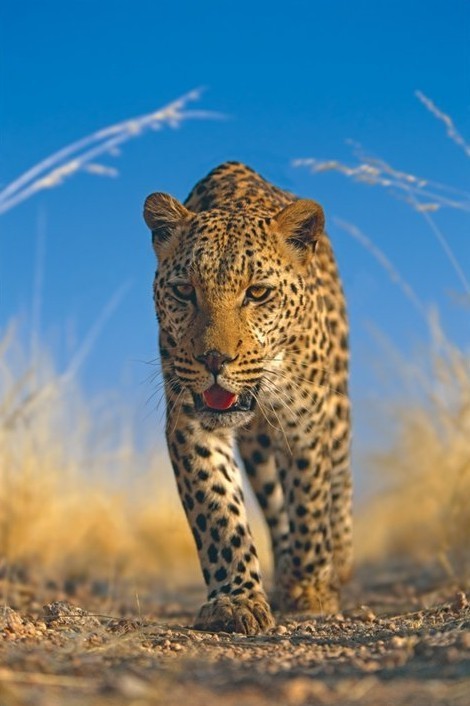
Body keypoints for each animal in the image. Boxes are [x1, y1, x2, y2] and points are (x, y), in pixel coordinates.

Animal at [143, 161, 352, 635]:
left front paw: (307, 591)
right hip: (258, 452)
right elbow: (218, 511)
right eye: (184, 291)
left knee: (338, 486)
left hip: (338, 406)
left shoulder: (304, 419)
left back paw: (338, 565)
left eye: (257, 293)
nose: (214, 359)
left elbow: (310, 503)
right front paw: (235, 600)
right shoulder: (190, 419)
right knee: (275, 507)